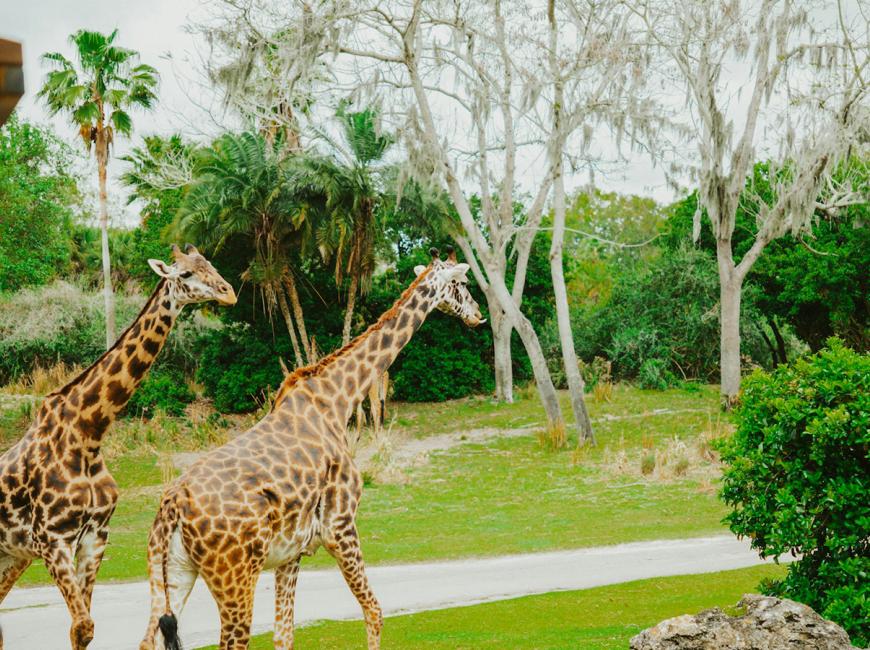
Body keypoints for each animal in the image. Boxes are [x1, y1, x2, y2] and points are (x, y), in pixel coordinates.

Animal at [0, 244, 236, 650]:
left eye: (210, 264)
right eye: (185, 274)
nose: (228, 292)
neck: (87, 435)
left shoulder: (94, 537)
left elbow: (84, 628)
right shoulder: (51, 540)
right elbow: (82, 625)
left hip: (11, 556)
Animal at [139, 247, 484, 650]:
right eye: (462, 283)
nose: (478, 314)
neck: (337, 399)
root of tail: (171, 508)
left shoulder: (291, 552)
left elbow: (284, 634)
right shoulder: (340, 525)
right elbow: (374, 611)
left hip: (171, 573)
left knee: (148, 638)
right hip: (234, 576)